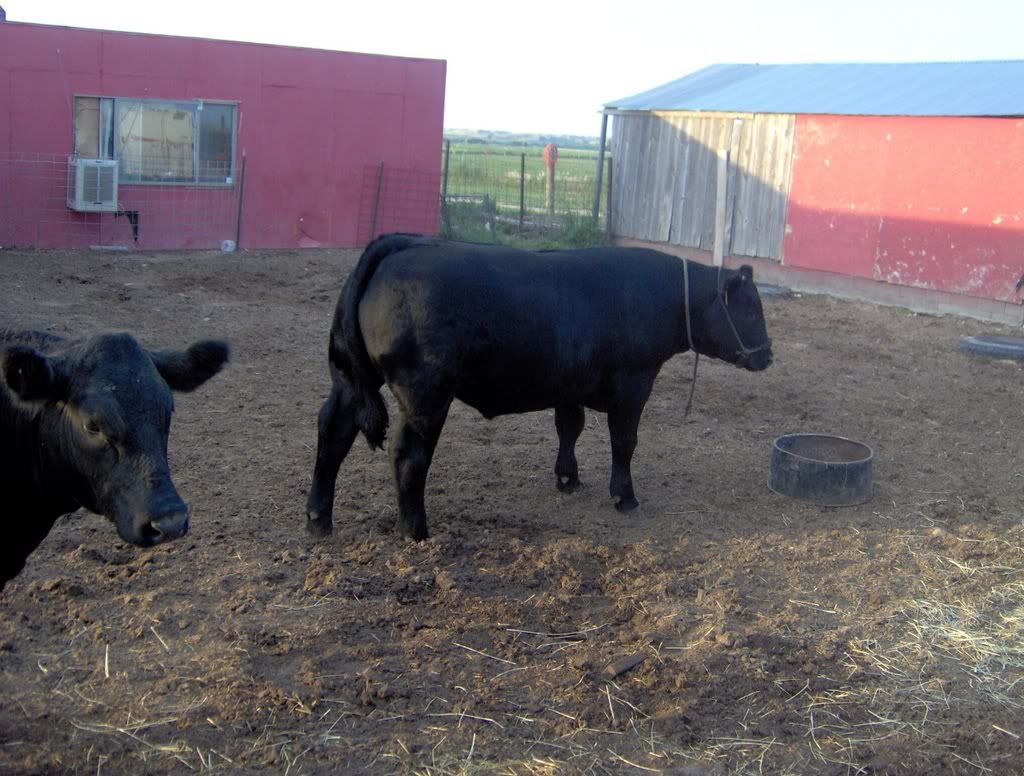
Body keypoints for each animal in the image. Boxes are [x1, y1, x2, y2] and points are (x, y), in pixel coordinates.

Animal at [306, 233, 772, 542]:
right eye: (750, 309)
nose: (767, 355)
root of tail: (403, 243)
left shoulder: (569, 383)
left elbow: (569, 427)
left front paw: (568, 478)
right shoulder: (633, 385)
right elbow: (624, 443)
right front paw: (624, 496)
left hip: (348, 378)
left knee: (333, 432)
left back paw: (318, 517)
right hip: (425, 394)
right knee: (408, 455)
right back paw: (415, 530)